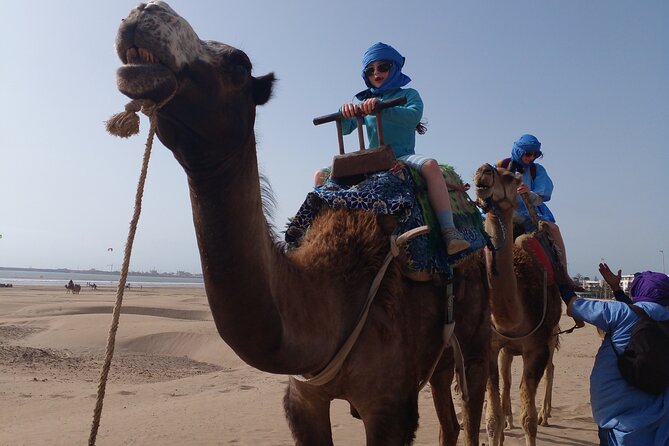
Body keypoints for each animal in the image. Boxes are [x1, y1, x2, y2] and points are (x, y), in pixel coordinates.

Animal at [112, 3, 490, 445]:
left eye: (239, 63)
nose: (146, 10)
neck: (335, 292)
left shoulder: (391, 406)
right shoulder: (304, 398)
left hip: (475, 336)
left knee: (473, 398)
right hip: (439, 355)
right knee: (449, 417)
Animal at [473, 164, 562, 446]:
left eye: (510, 178)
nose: (483, 172)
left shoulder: (536, 349)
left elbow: (528, 419)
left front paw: (533, 418)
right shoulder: (491, 346)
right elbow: (492, 418)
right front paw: (499, 429)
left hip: (551, 334)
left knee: (551, 368)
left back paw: (546, 414)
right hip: (509, 349)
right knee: (508, 379)